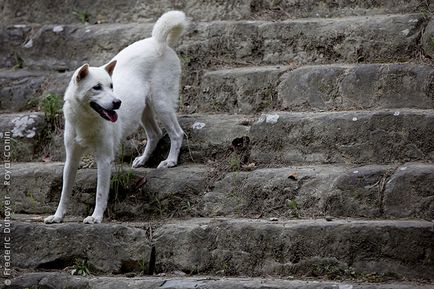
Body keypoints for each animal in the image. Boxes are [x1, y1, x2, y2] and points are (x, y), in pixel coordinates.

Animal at [45, 10, 189, 223]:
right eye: (96, 87)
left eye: (111, 86)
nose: (117, 102)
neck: (86, 120)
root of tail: (158, 42)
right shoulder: (71, 159)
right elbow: (64, 192)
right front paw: (57, 217)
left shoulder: (104, 159)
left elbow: (100, 192)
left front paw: (95, 217)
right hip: (144, 110)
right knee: (155, 133)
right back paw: (143, 160)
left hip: (161, 104)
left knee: (177, 133)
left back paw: (170, 161)